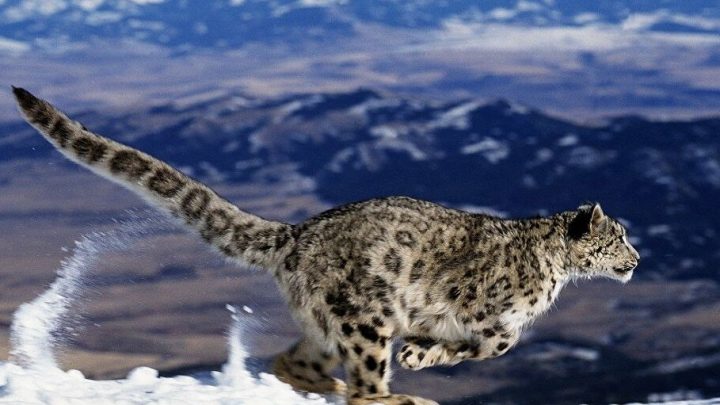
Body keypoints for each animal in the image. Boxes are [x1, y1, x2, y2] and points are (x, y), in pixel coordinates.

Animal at [12, 87, 640, 405]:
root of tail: (299, 233)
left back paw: (331, 383)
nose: (636, 261)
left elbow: (479, 346)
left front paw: (421, 355)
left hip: (329, 324)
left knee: (295, 360)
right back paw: (399, 397)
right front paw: (422, 358)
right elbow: (497, 343)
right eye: (617, 238)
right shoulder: (483, 313)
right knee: (364, 389)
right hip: (368, 318)